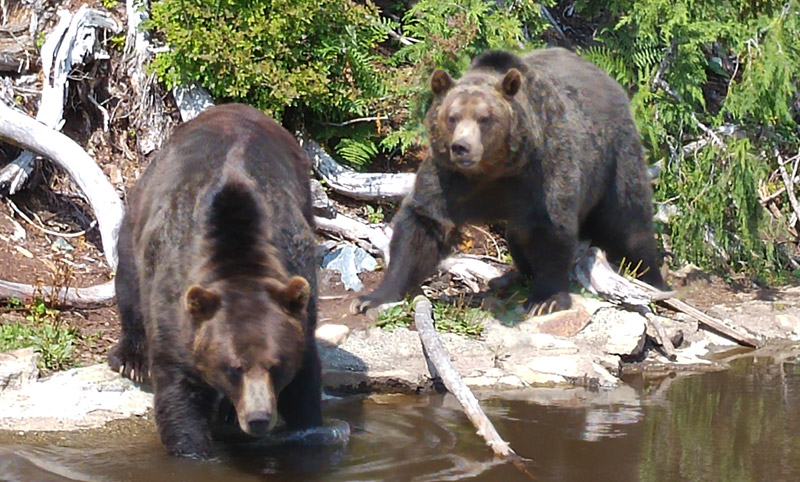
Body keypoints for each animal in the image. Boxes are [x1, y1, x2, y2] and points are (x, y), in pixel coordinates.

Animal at [108, 103, 322, 458]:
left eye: (276, 365)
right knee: (128, 279)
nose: (259, 418)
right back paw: (131, 359)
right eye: (234, 367)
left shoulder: (303, 292)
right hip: (139, 212)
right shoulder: (173, 306)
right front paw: (193, 448)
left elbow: (304, 384)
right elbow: (180, 394)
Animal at [353, 47, 666, 316]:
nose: (462, 147)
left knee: (628, 222)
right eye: (452, 117)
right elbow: (423, 225)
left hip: (616, 155)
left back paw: (653, 277)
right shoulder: (449, 178)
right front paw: (373, 297)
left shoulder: (540, 171)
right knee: (516, 235)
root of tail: (607, 78)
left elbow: (549, 229)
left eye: (484, 118)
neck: (494, 170)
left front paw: (545, 299)